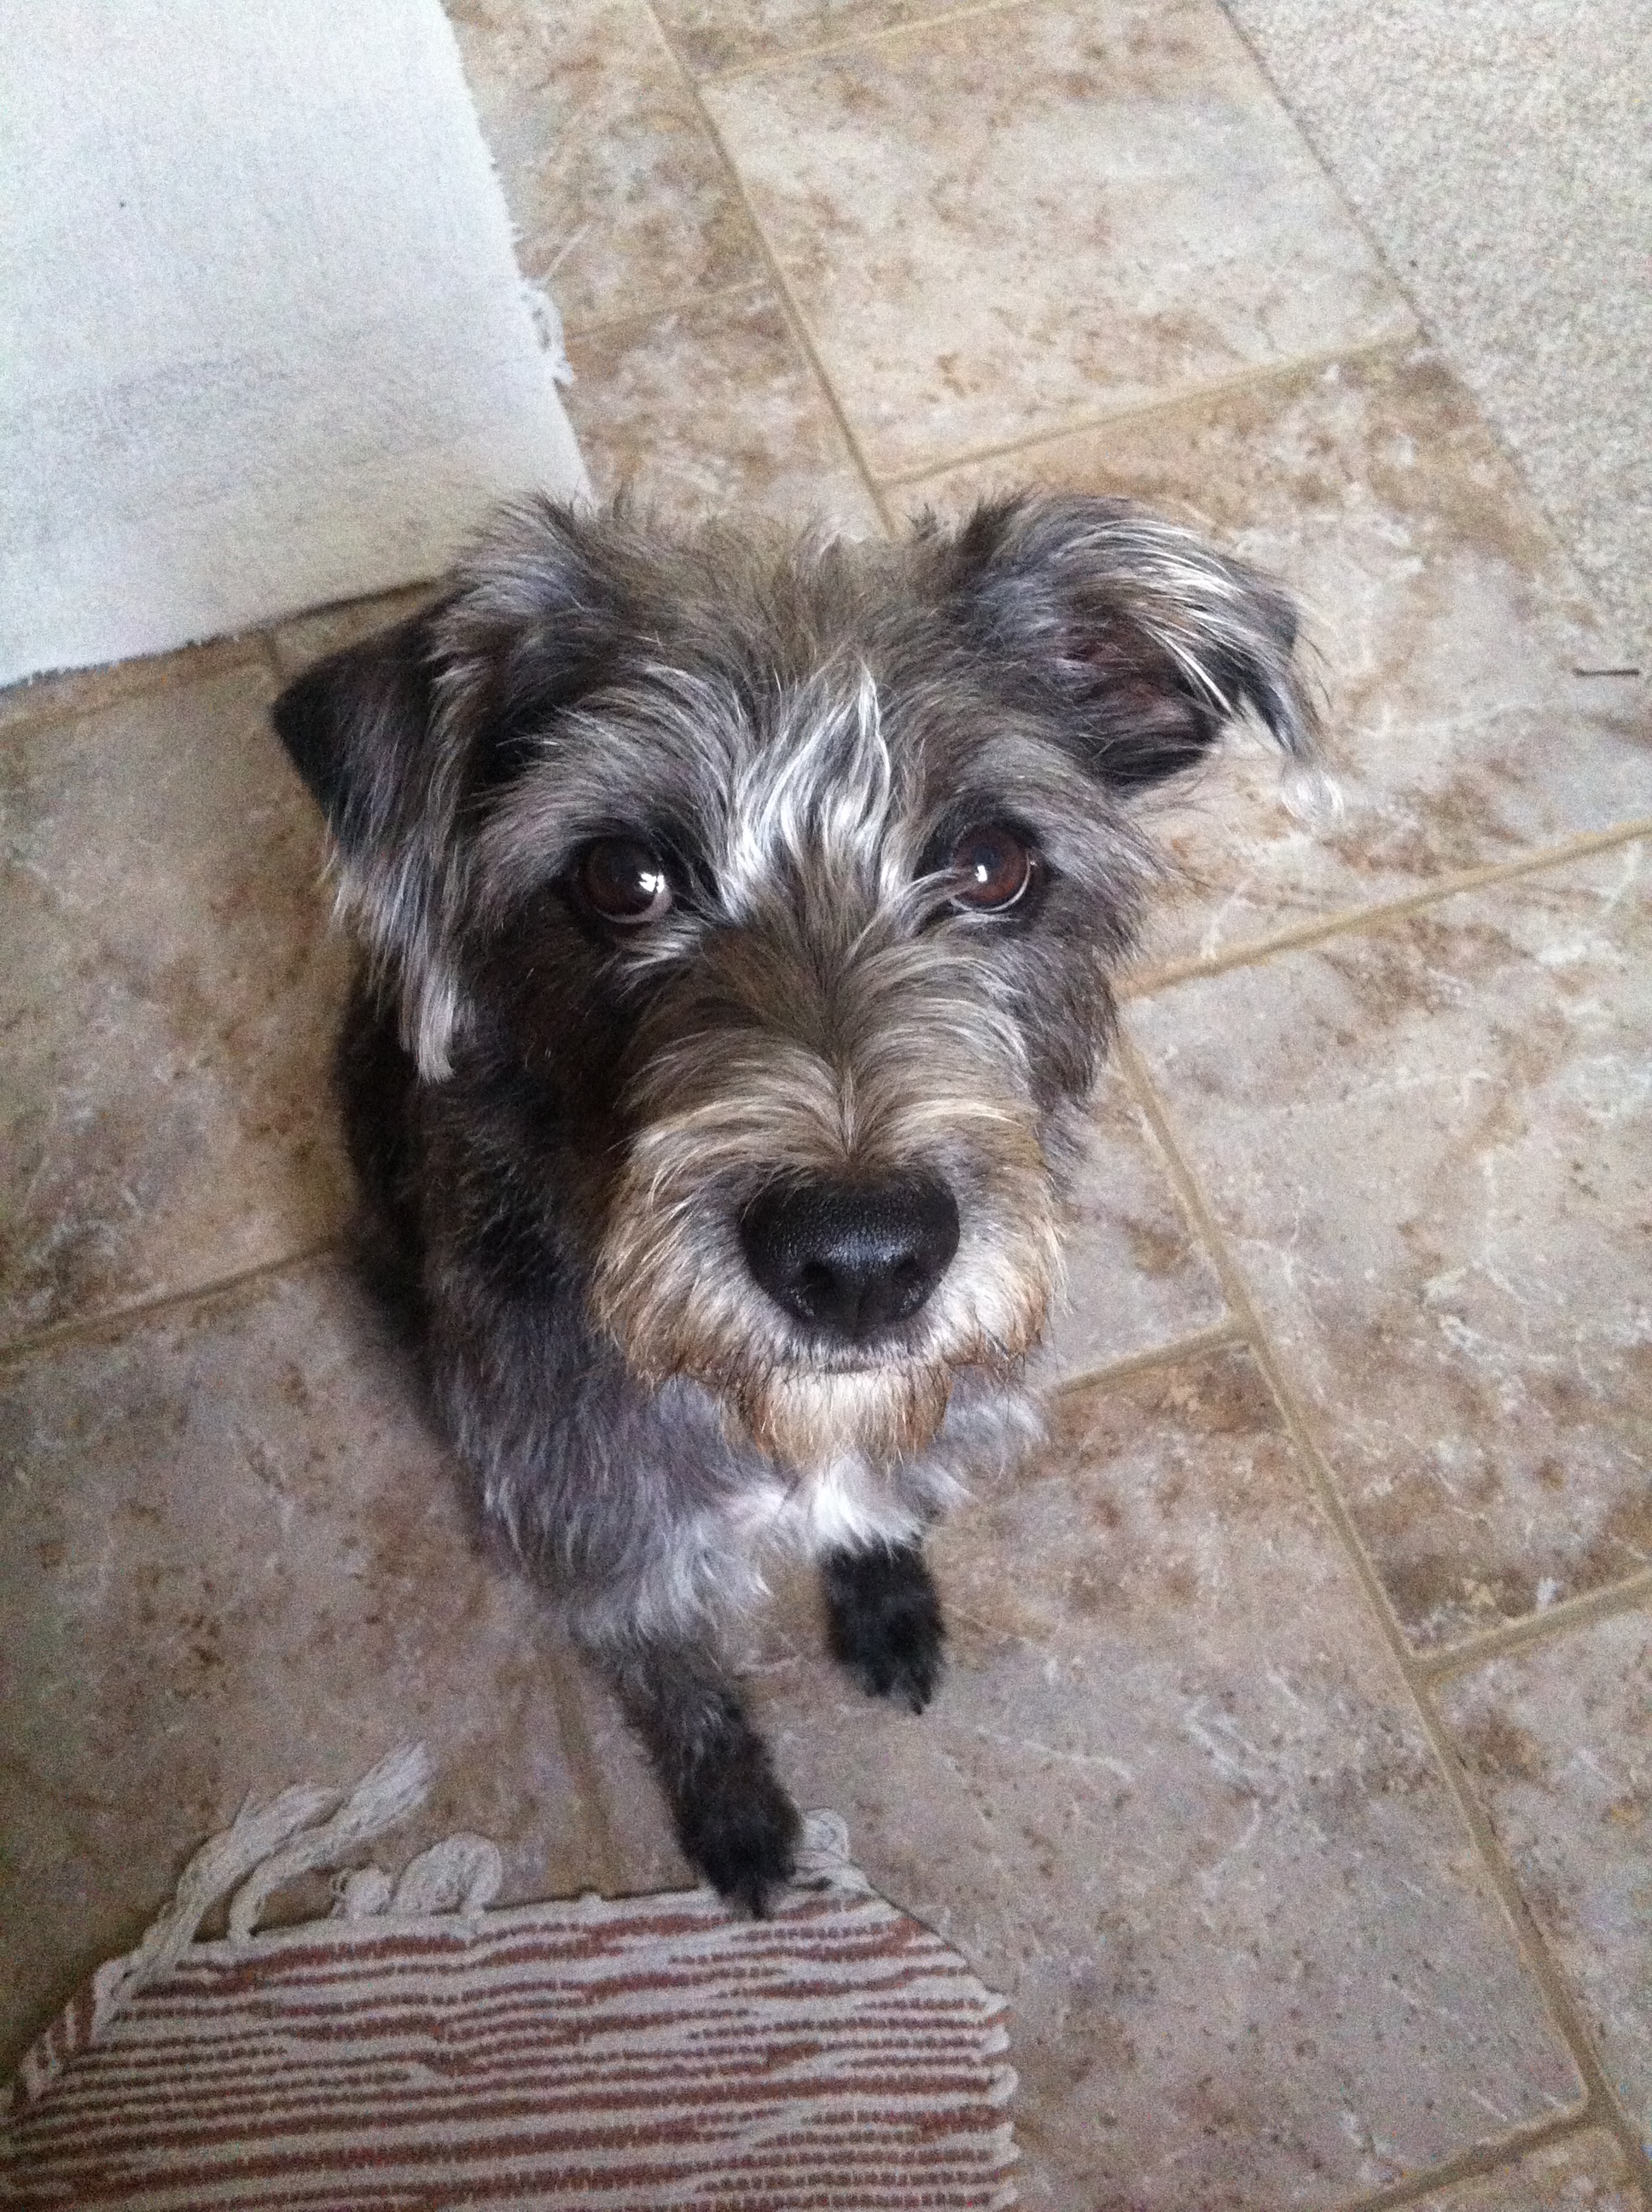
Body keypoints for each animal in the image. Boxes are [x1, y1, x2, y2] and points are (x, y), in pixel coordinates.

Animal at [273, 492, 1315, 1911]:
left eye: (994, 864)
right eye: (621, 877)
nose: (862, 1259)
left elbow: (883, 1514)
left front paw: (886, 1598)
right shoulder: (607, 1549)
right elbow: (682, 1689)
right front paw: (739, 1817)